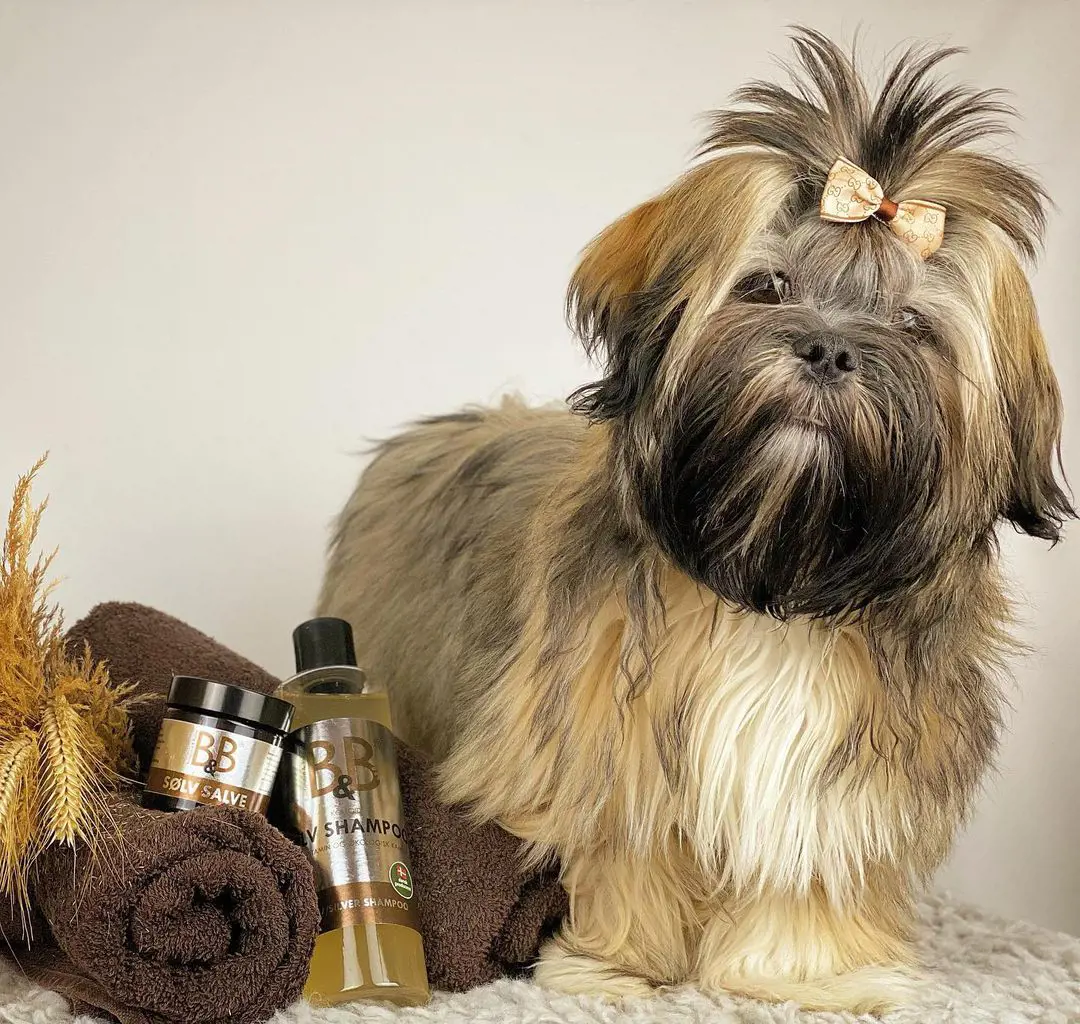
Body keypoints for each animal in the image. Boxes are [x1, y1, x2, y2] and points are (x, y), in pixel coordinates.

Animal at [317, 31, 1071, 1015]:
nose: (830, 349)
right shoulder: (609, 741)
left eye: (914, 326)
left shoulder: (835, 788)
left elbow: (806, 877)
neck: (772, 580)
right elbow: (628, 852)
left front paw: (807, 975)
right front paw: (614, 966)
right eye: (765, 286)